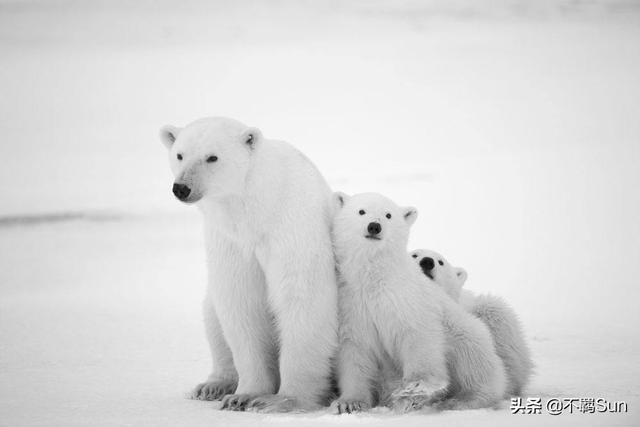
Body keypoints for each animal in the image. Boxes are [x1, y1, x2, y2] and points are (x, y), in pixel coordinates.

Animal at [160, 118, 338, 412]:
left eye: (212, 157)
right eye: (180, 154)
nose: (182, 188)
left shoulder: (291, 227)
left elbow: (302, 298)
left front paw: (282, 400)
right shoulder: (230, 241)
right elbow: (241, 304)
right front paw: (243, 396)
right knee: (212, 316)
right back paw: (213, 385)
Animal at [330, 194, 504, 414]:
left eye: (388, 215)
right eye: (361, 211)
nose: (374, 226)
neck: (374, 277)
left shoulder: (406, 298)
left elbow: (418, 335)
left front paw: (415, 387)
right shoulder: (352, 305)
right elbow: (355, 352)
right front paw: (349, 403)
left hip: (465, 332)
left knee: (473, 360)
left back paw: (462, 399)